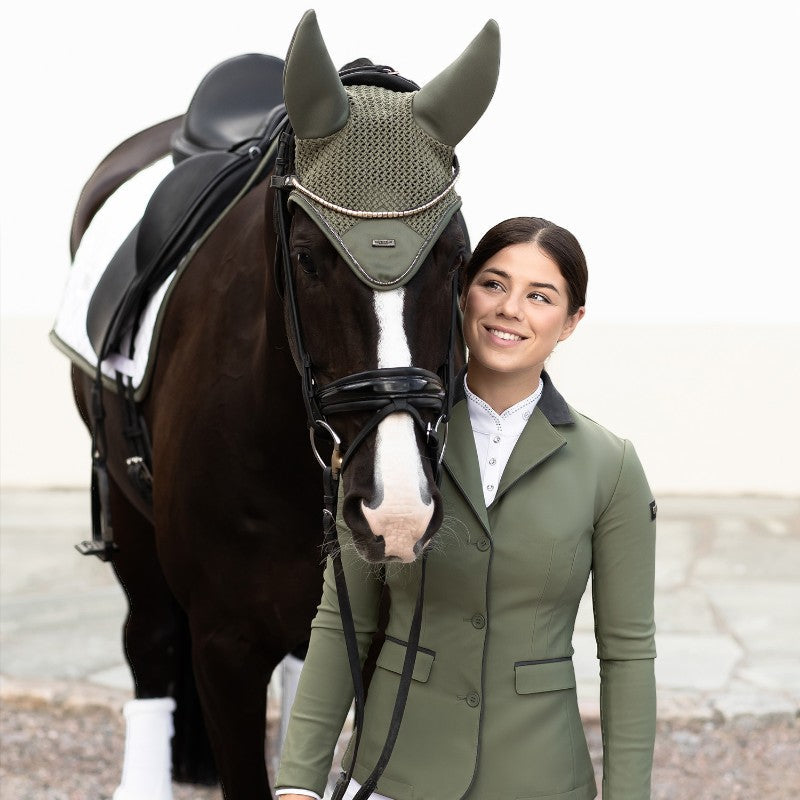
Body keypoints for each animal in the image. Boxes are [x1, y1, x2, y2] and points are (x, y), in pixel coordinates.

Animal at [64, 11, 499, 799]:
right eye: (307, 257)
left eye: (459, 255)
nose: (394, 511)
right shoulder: (223, 643)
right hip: (126, 504)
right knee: (149, 639)